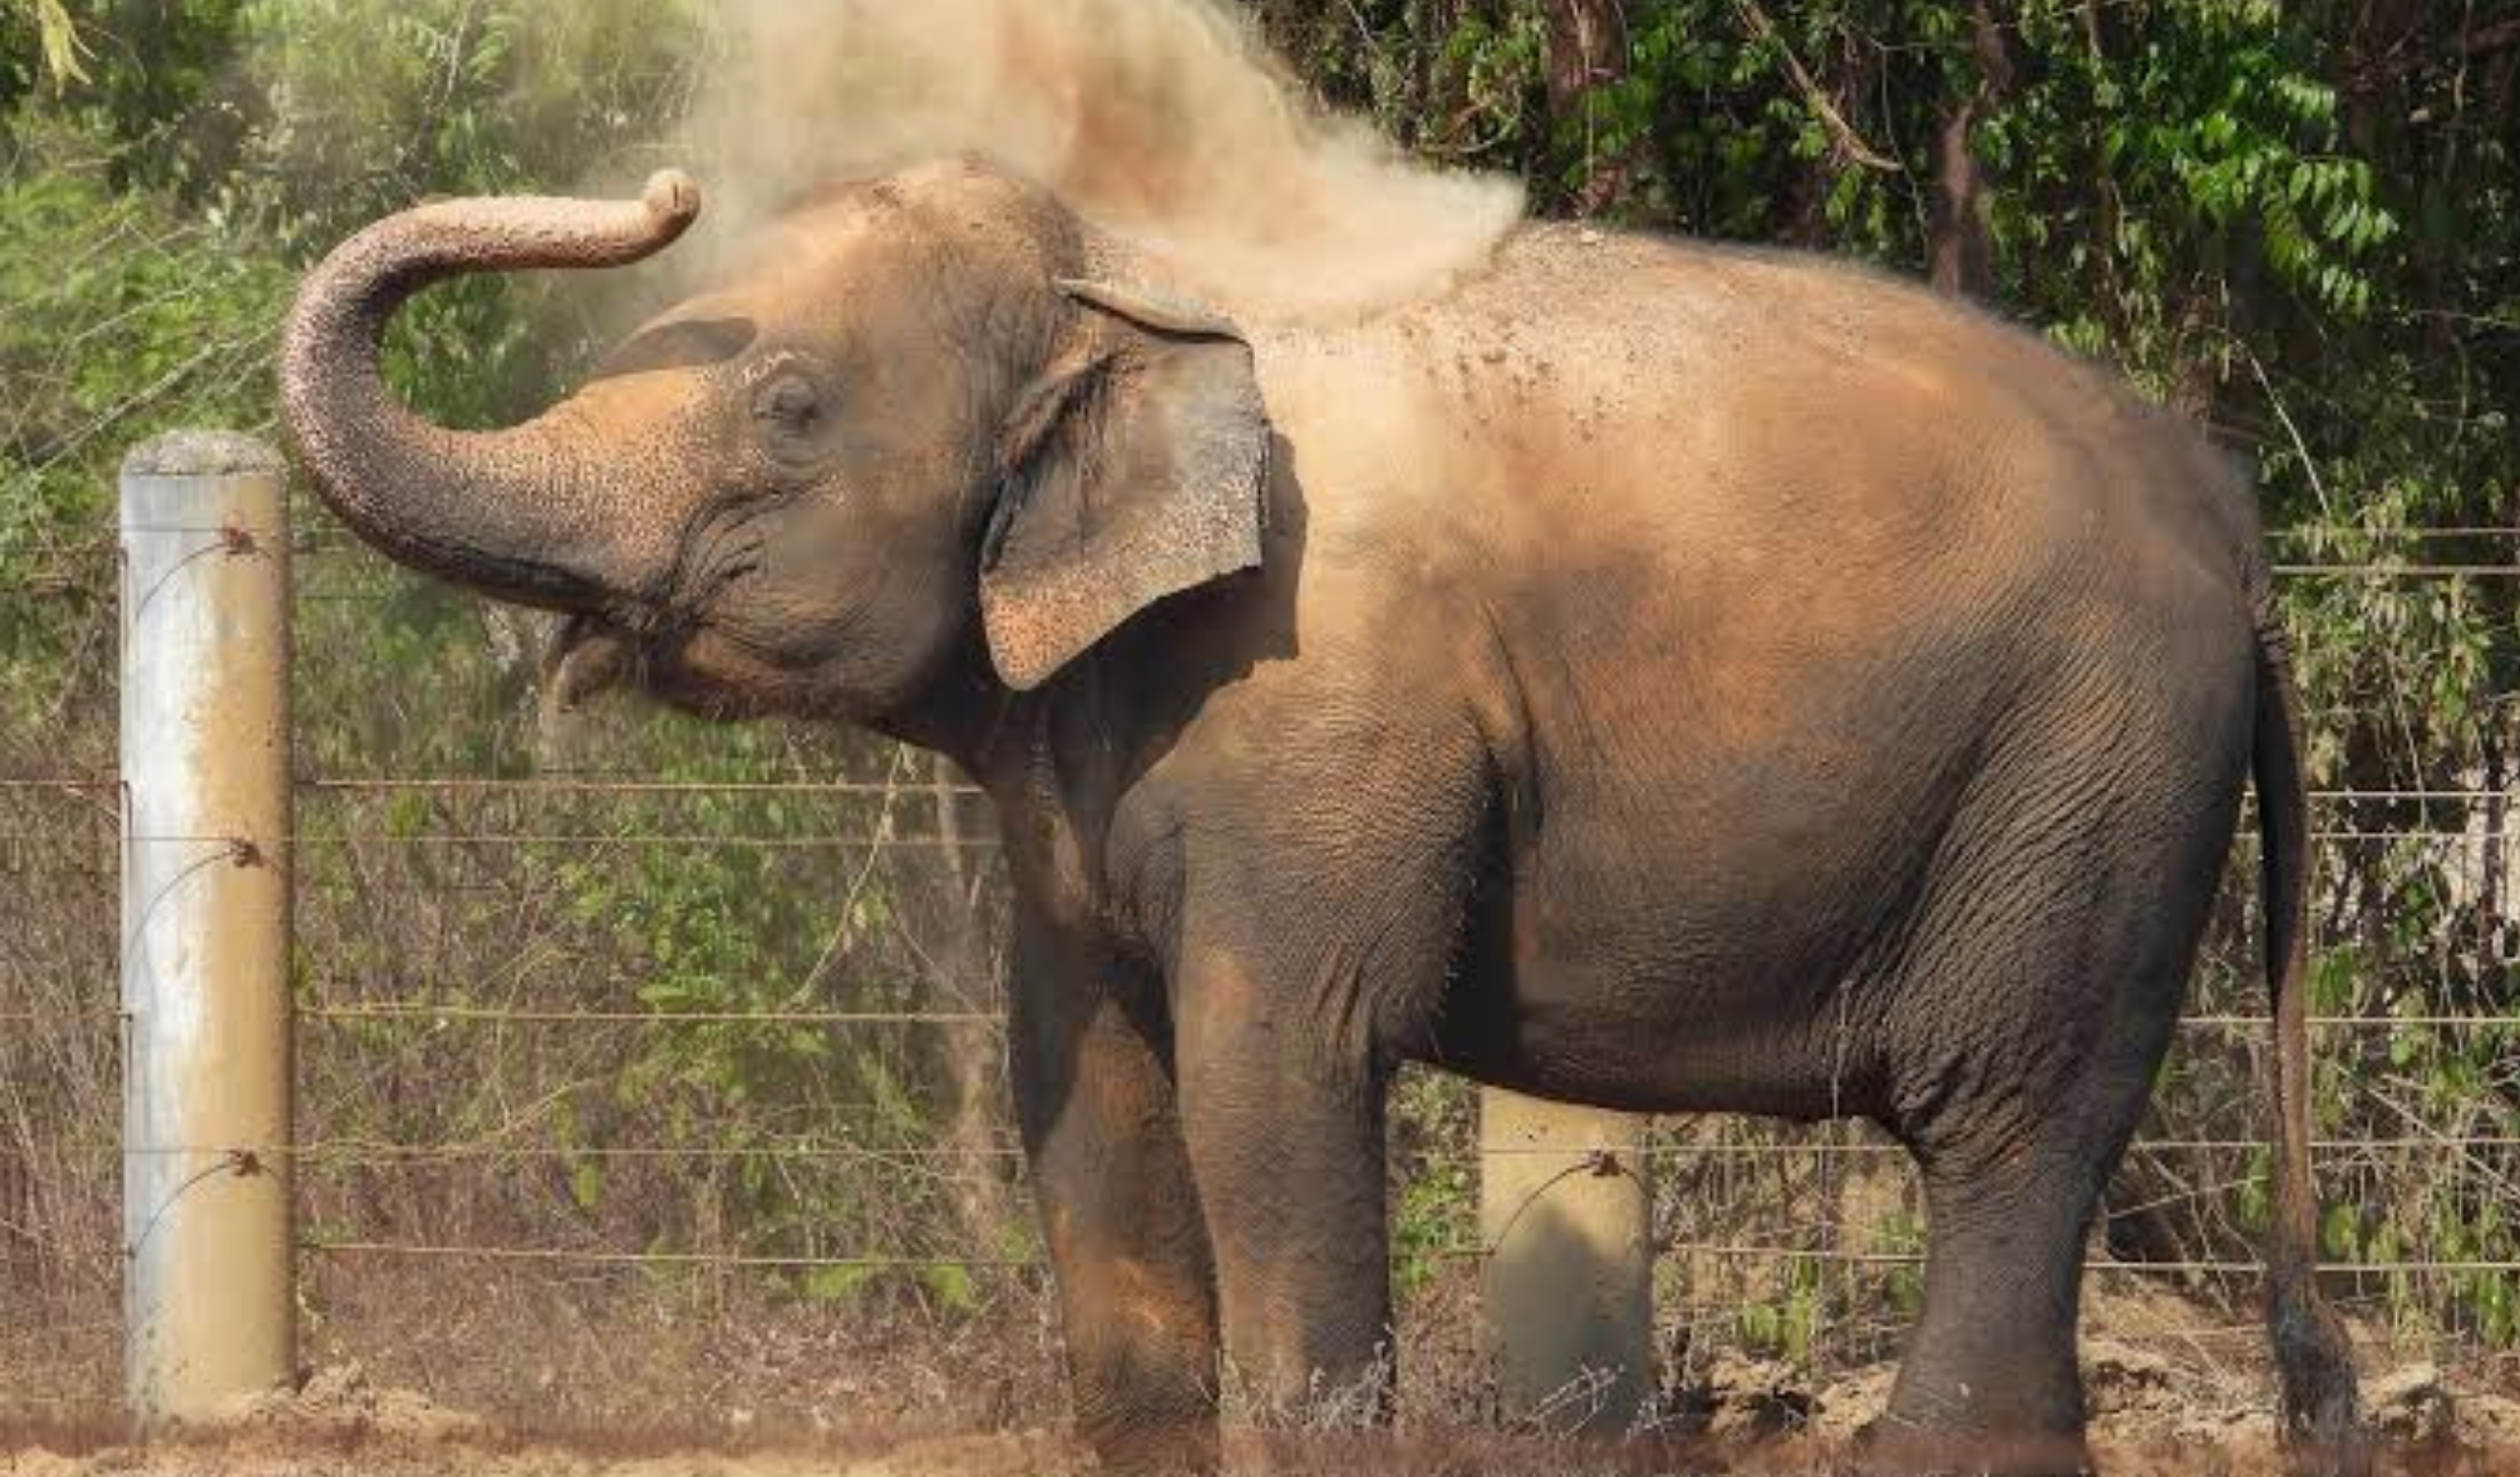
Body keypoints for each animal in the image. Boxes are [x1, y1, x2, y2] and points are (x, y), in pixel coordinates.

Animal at [279, 159, 2363, 1476]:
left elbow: (1278, 1065)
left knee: (2005, 1142)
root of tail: (2240, 537)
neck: (1140, 285)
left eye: (790, 406)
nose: (666, 188)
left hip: (2085, 788)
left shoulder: (1316, 722)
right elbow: (1091, 1079)